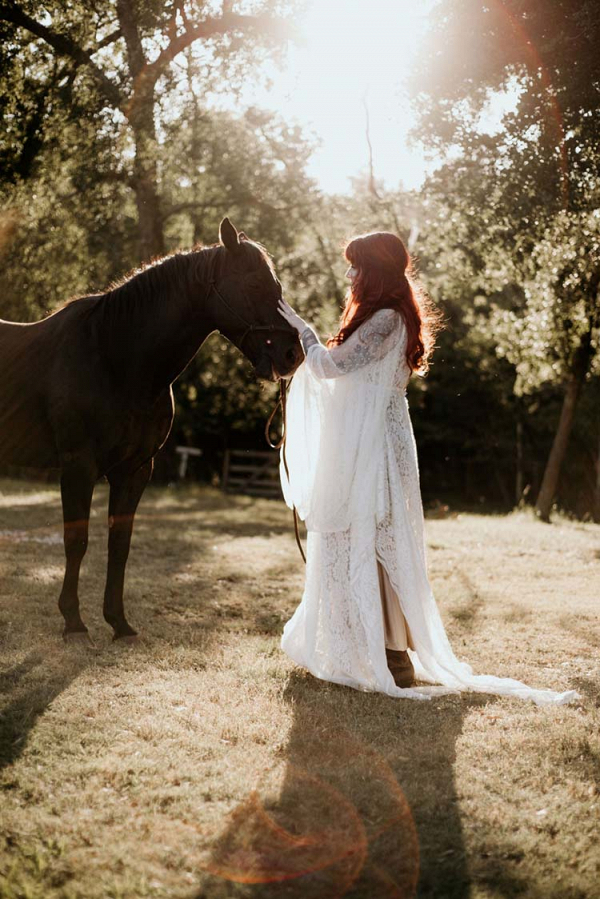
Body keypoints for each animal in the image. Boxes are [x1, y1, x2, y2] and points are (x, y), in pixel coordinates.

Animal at [0, 218, 300, 640]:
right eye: (256, 284)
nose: (293, 355)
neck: (113, 357)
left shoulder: (136, 470)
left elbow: (119, 544)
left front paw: (119, 622)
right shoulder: (78, 467)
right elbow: (77, 540)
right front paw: (74, 621)